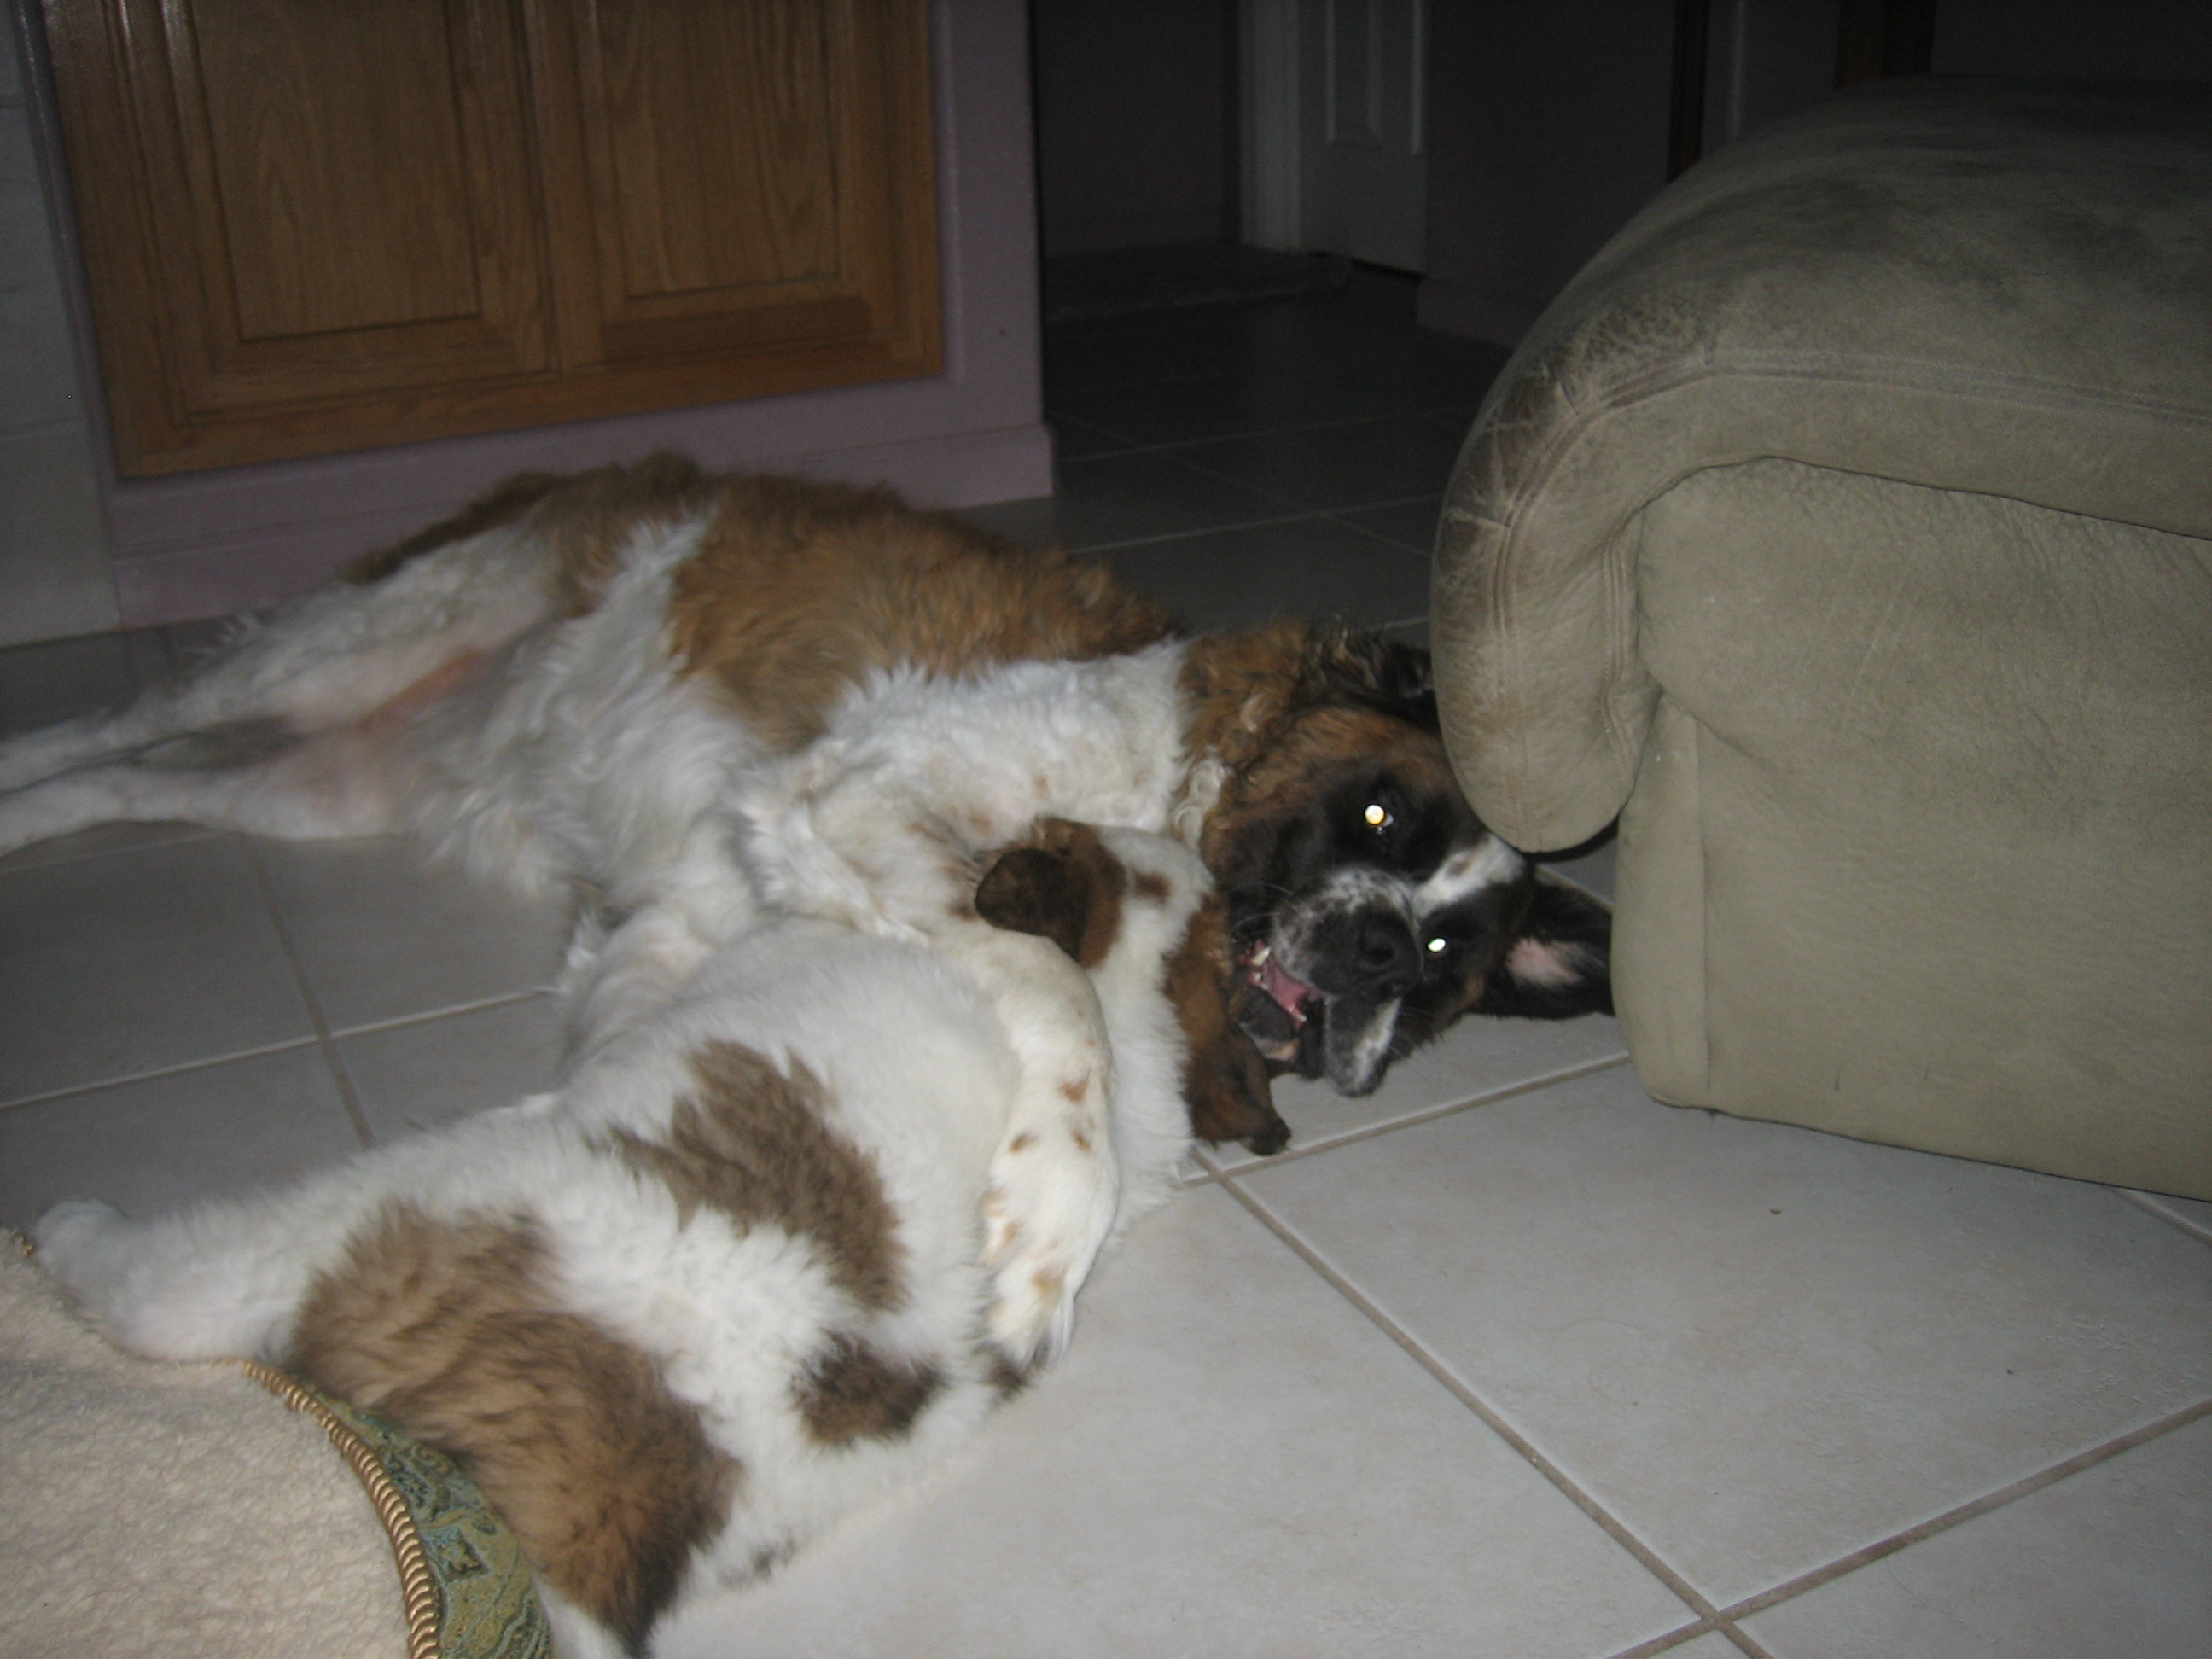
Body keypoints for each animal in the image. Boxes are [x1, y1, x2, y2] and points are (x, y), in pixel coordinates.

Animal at [0, 458, 1609, 1356]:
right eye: (1382, 816)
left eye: (1449, 953)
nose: (1382, 950)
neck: (1170, 761)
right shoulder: (849, 794)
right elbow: (1052, 984)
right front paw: (1049, 1217)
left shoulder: (683, 922)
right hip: (366, 638)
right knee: (115, 726)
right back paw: (20, 757)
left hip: (324, 779)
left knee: (124, 779)